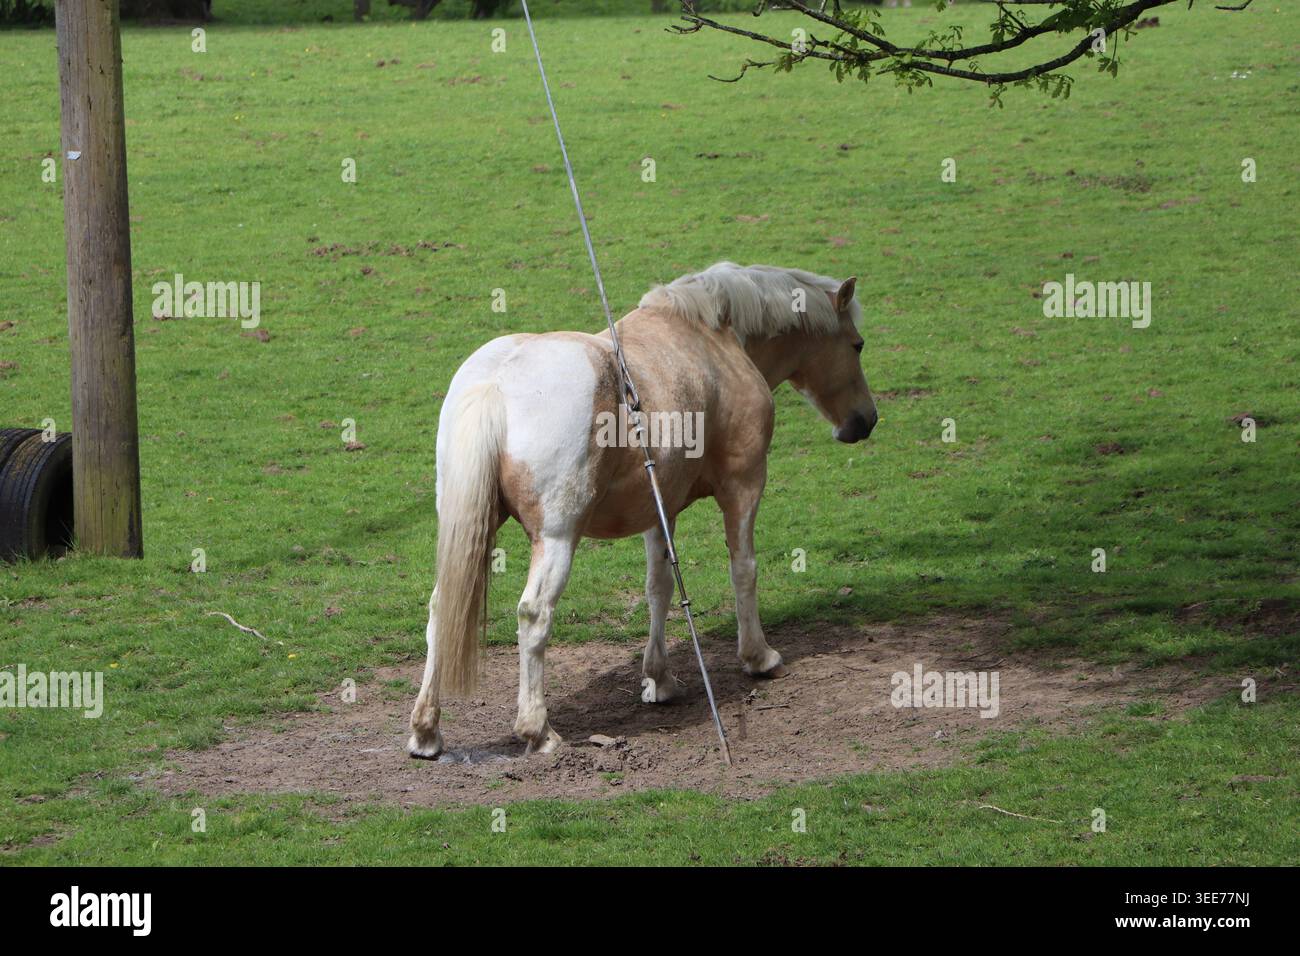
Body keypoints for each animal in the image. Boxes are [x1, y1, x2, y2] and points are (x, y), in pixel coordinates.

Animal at [407, 262, 878, 758]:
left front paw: (659, 678)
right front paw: (759, 656)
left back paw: (426, 731)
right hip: (557, 539)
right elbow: (743, 569)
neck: (713, 337)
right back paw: (538, 730)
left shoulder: (659, 510)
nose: (865, 420)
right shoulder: (744, 485)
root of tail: (496, 382)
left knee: (439, 611)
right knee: (534, 615)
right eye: (857, 345)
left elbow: (660, 587)